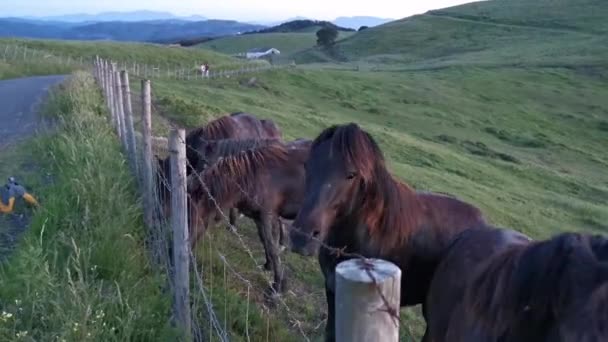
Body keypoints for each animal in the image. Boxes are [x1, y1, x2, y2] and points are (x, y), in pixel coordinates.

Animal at [189, 140, 308, 296]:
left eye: (193, 215)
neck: (253, 177)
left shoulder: (267, 216)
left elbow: (272, 247)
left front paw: (277, 286)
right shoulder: (258, 218)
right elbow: (265, 242)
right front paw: (268, 265)